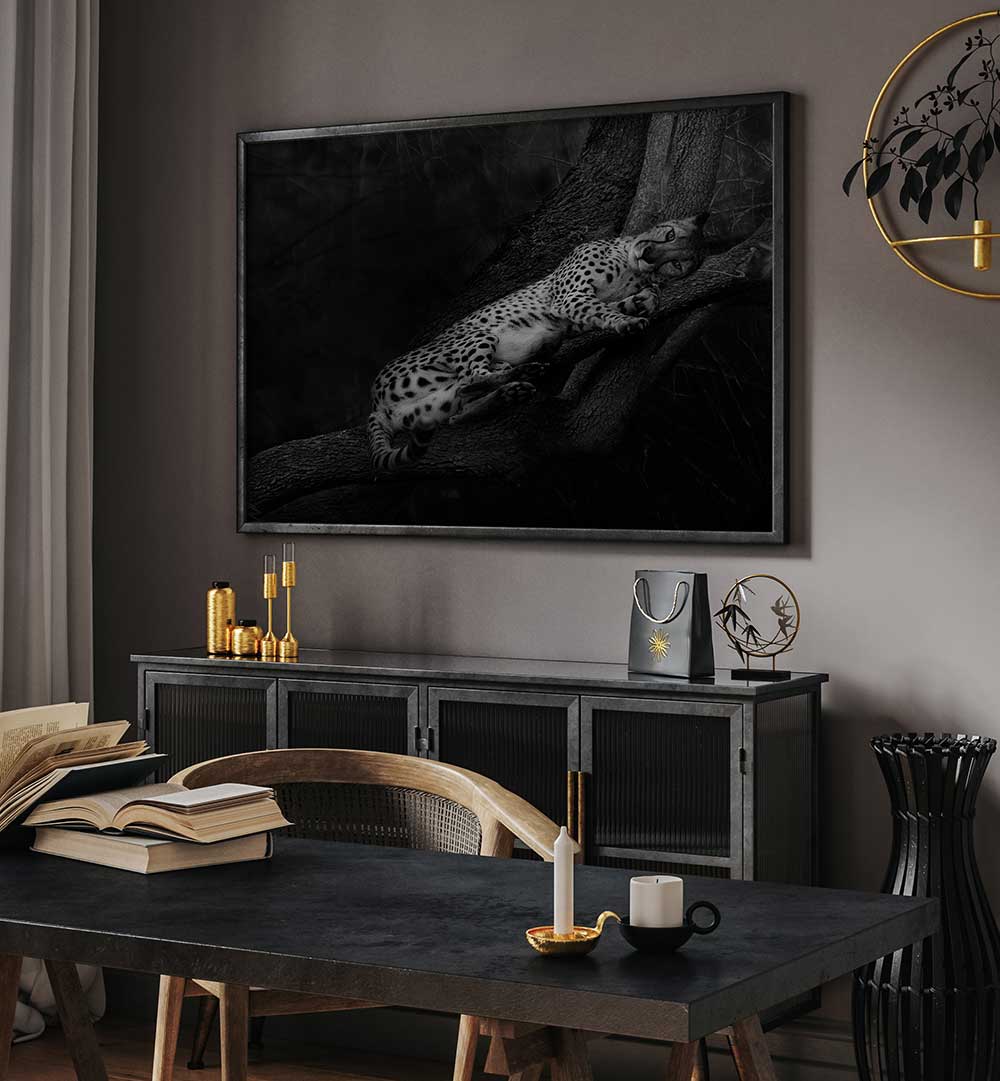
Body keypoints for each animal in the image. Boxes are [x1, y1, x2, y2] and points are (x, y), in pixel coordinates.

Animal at [367, 212, 708, 473]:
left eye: (678, 264)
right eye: (669, 234)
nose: (648, 256)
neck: (630, 265)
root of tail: (375, 401)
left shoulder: (577, 312)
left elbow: (626, 301)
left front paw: (644, 301)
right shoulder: (570, 298)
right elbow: (605, 310)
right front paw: (627, 321)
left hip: (435, 404)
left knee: (459, 404)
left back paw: (513, 388)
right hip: (478, 336)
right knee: (471, 378)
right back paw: (524, 372)